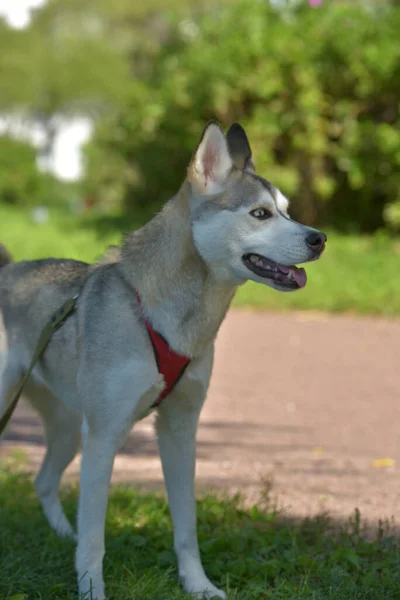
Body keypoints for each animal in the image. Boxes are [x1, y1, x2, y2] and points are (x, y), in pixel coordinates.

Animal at [0, 120, 324, 596]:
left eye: (287, 211)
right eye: (260, 214)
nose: (320, 238)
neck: (165, 316)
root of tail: (6, 270)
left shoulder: (179, 431)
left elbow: (186, 526)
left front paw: (198, 584)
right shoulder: (104, 436)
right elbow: (95, 538)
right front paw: (92, 589)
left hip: (68, 430)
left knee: (43, 481)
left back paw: (62, 535)